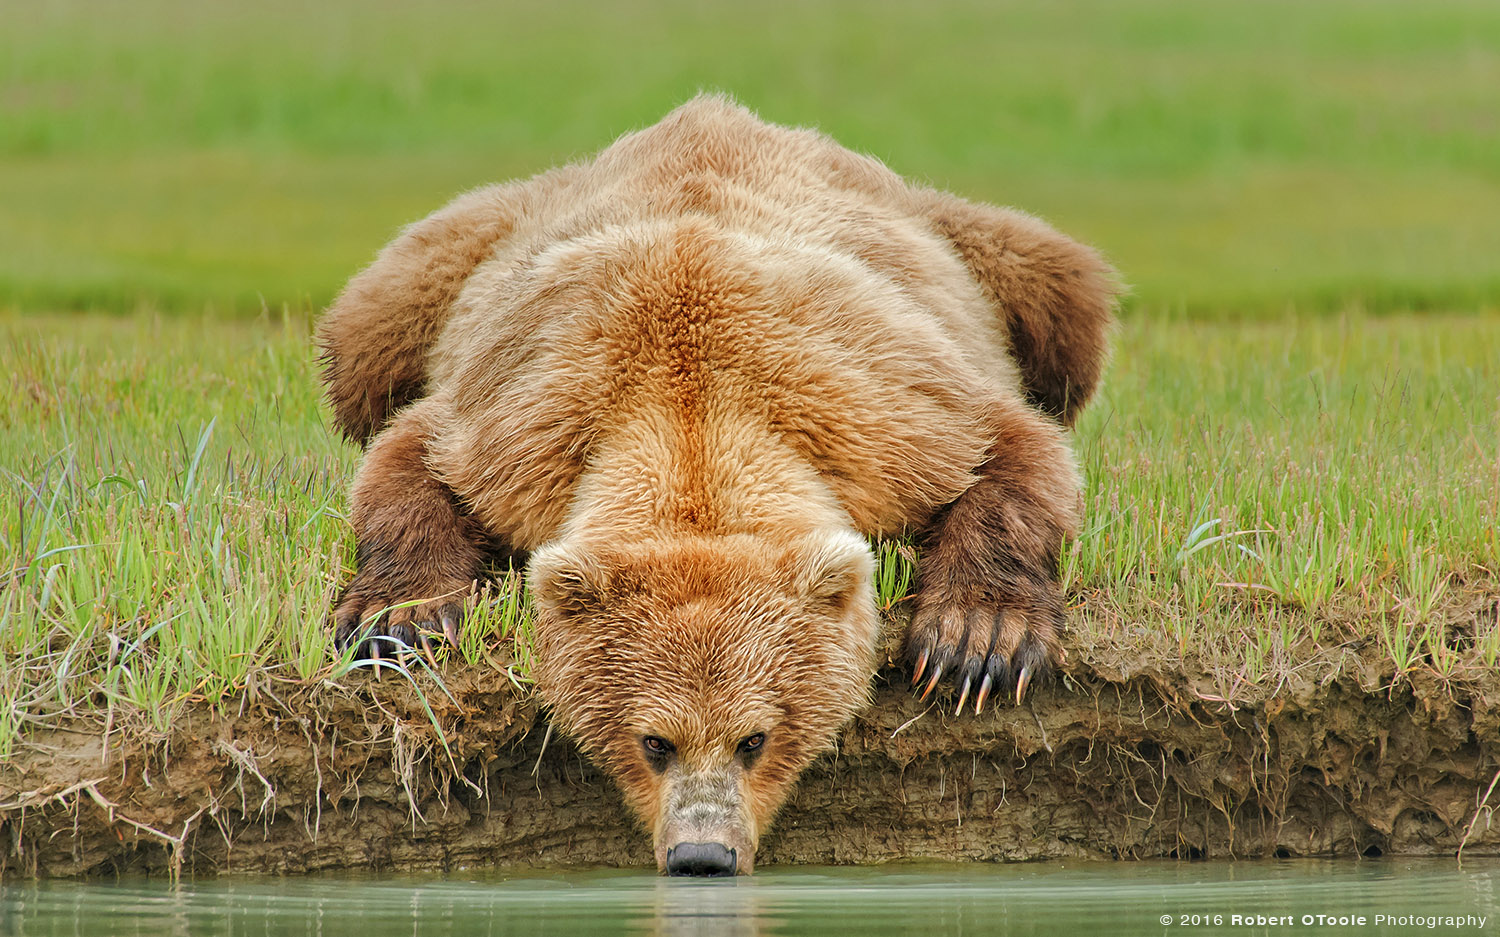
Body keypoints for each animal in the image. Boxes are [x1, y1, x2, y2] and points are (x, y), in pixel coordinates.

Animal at [319, 96, 1116, 875]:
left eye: (753, 738)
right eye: (655, 741)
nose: (702, 852)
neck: (693, 422)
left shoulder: (879, 415)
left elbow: (1011, 447)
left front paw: (976, 643)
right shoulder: (526, 428)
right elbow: (409, 461)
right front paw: (398, 622)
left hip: (972, 253)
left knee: (1060, 289)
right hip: (461, 256)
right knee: (370, 334)